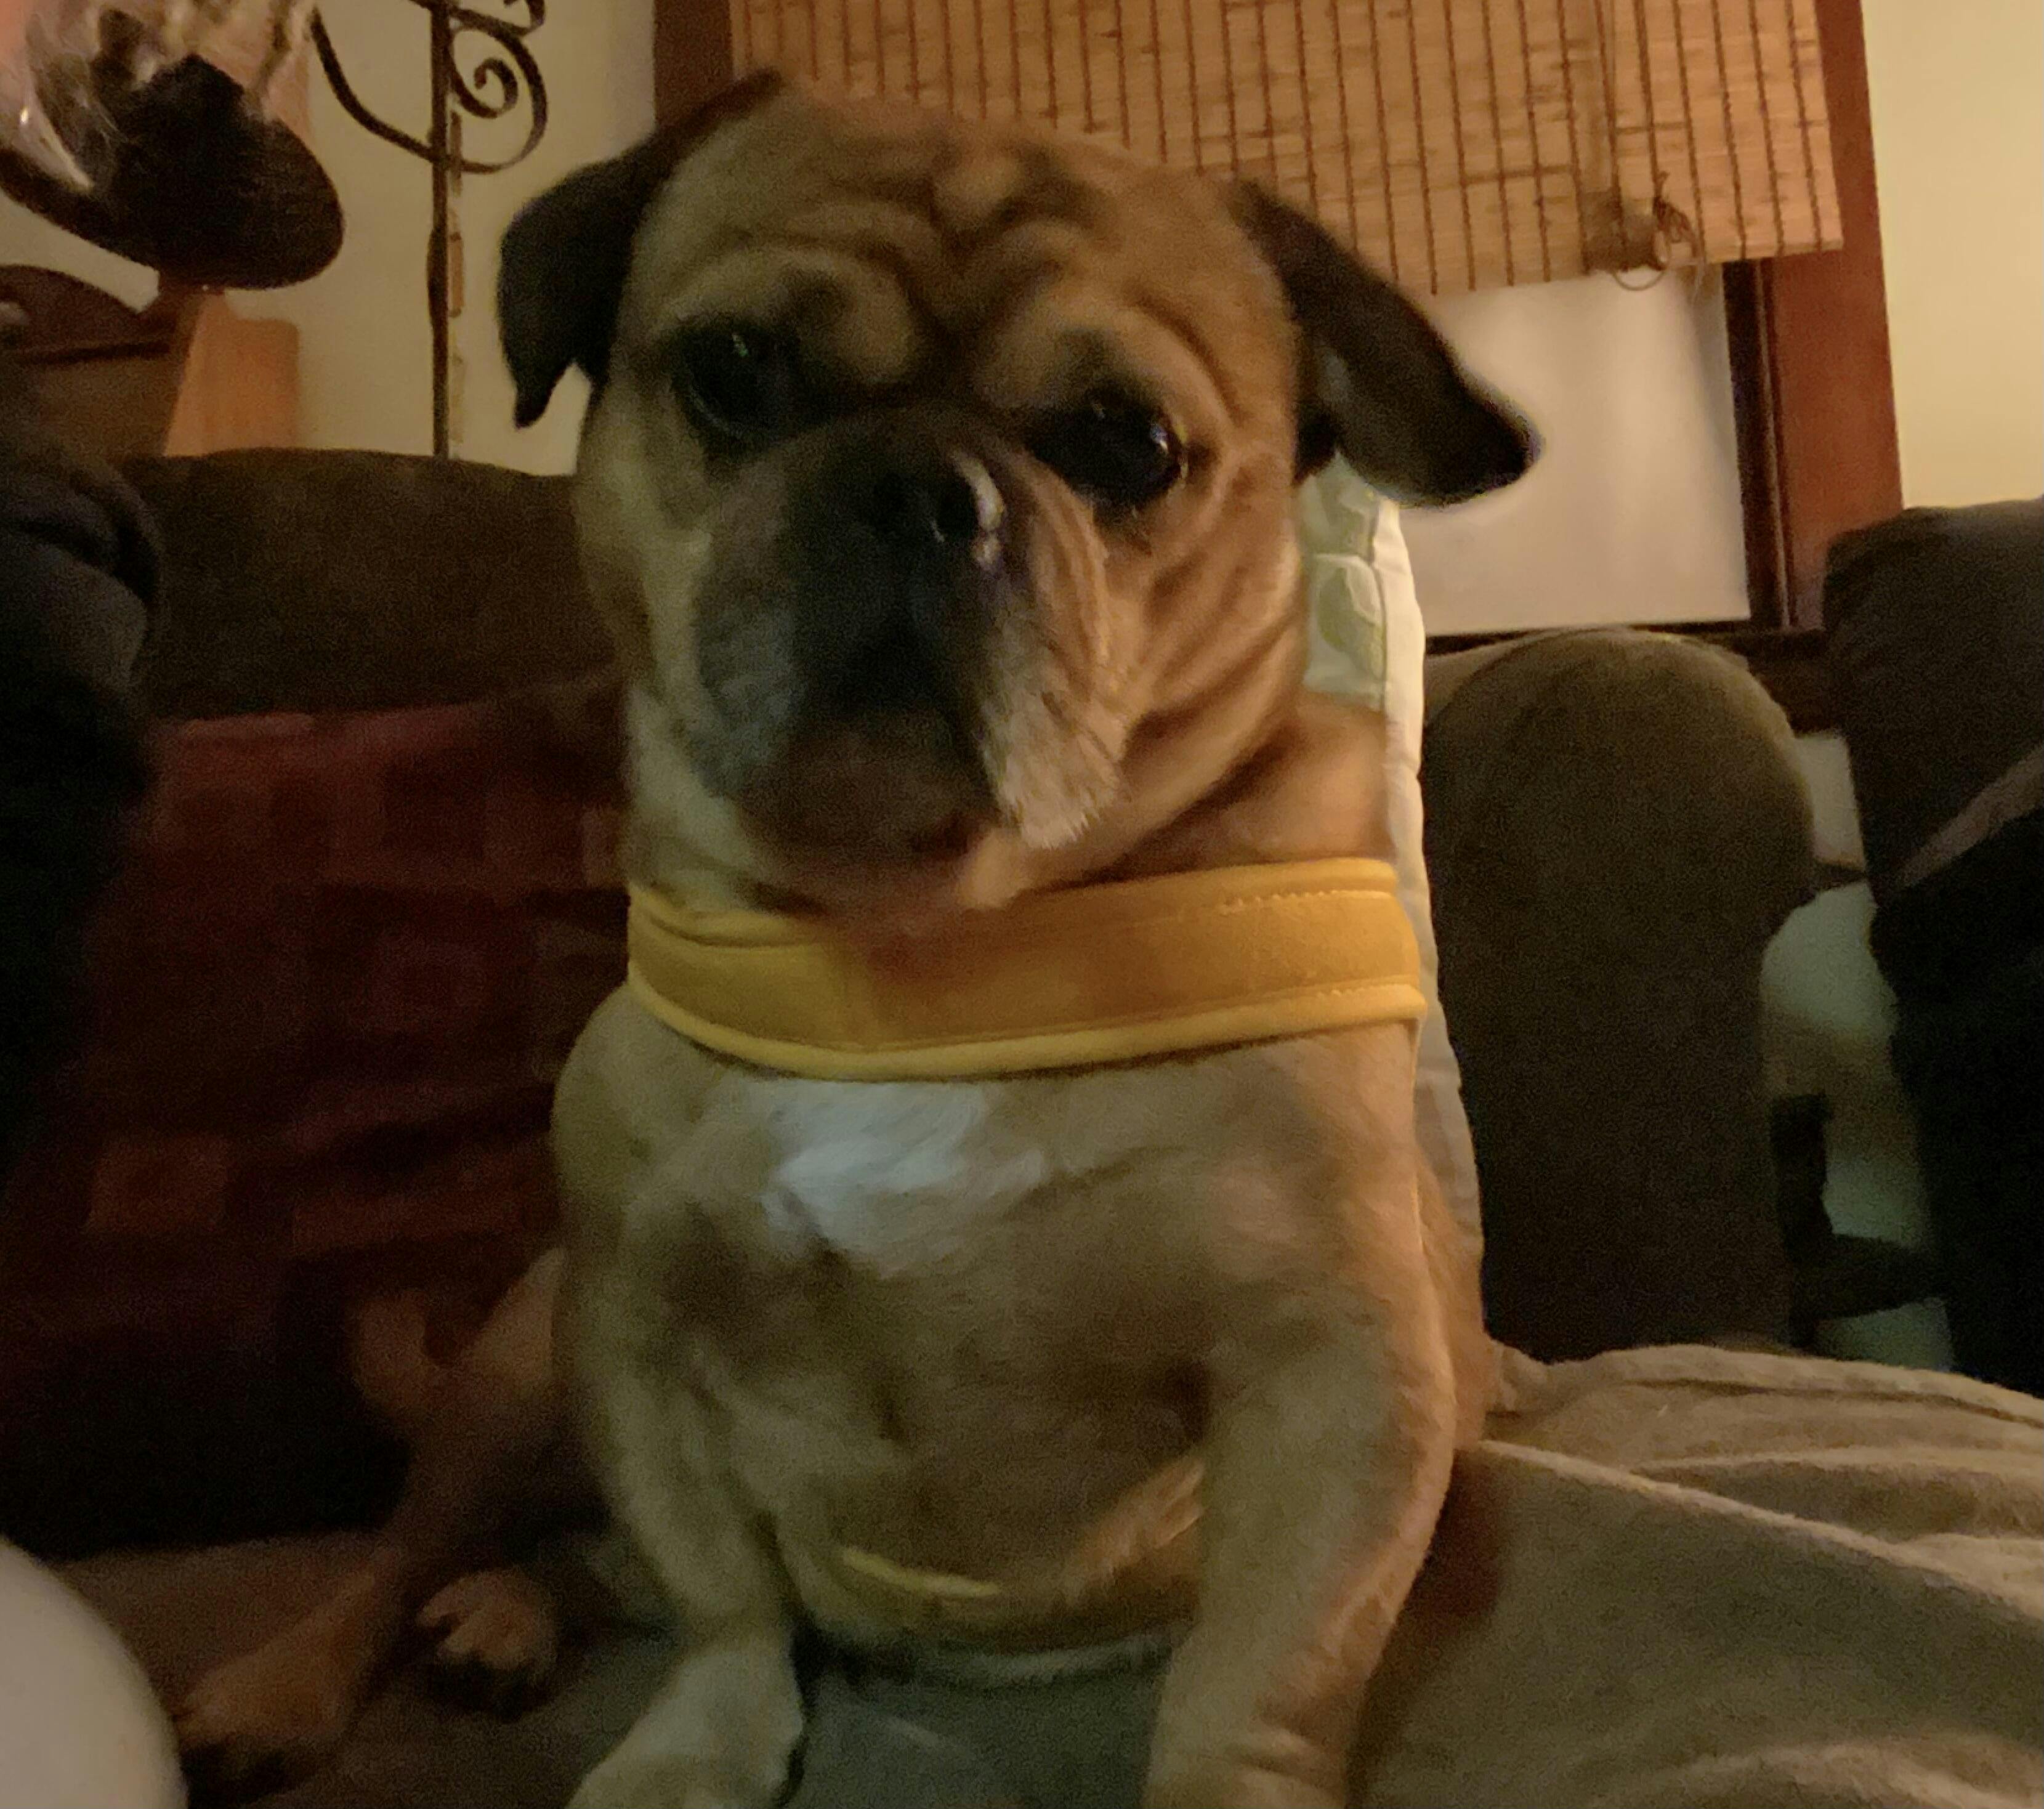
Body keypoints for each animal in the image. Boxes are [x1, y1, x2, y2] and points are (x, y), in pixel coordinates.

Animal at [177, 72, 1530, 1808]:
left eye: (1130, 442)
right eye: (736, 369)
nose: (920, 489)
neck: (921, 942)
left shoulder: (1337, 1376)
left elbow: (1265, 1671)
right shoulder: (631, 1326)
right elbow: (720, 1599)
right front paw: (696, 1744)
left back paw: (506, 1618)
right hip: (515, 1368)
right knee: (423, 1544)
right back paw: (330, 1663)